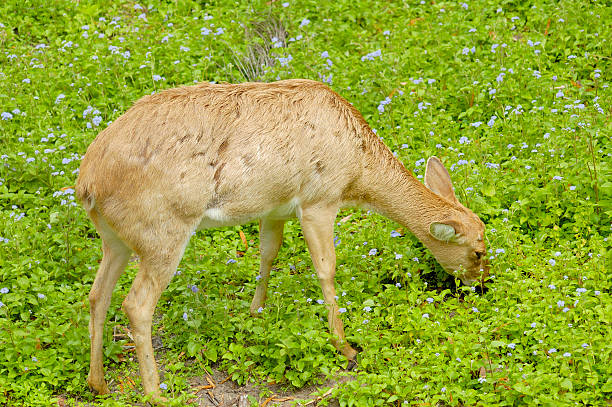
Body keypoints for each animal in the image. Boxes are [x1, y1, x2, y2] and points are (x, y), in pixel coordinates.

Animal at [75, 78, 488, 400]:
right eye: (478, 251)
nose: (480, 286)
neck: (358, 172)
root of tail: (87, 183)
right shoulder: (319, 200)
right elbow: (326, 268)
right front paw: (345, 346)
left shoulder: (273, 209)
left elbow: (267, 255)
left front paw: (255, 314)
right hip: (164, 232)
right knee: (136, 304)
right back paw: (155, 393)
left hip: (115, 238)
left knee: (97, 294)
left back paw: (99, 383)